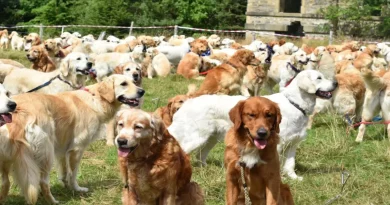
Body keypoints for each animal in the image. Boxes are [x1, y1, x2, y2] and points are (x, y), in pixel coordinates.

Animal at [169, 70, 336, 179]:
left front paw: (294, 178)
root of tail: (187, 103)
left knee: (200, 154)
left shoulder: (292, 143)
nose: (336, 83)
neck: (295, 103)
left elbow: (290, 164)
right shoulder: (276, 144)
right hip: (196, 137)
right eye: (319, 78)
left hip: (211, 138)